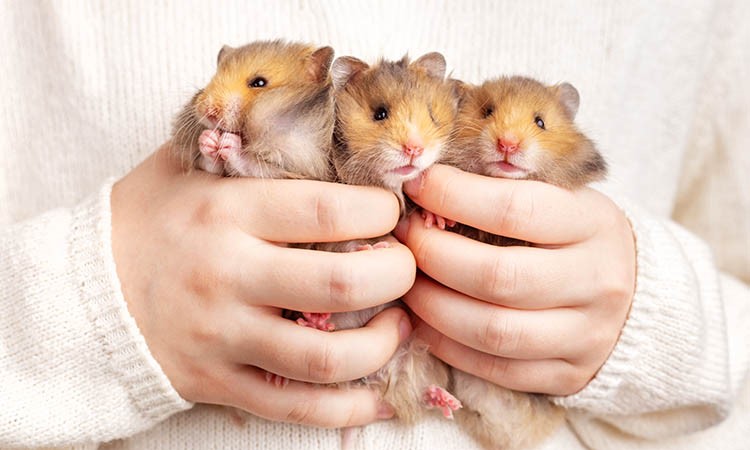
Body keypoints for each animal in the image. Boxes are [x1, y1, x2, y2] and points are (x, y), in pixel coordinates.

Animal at [171, 40, 335, 181]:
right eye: (212, 78)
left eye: (259, 82)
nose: (208, 111)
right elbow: (210, 165)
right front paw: (208, 138)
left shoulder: (299, 167)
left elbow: (252, 166)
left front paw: (228, 142)